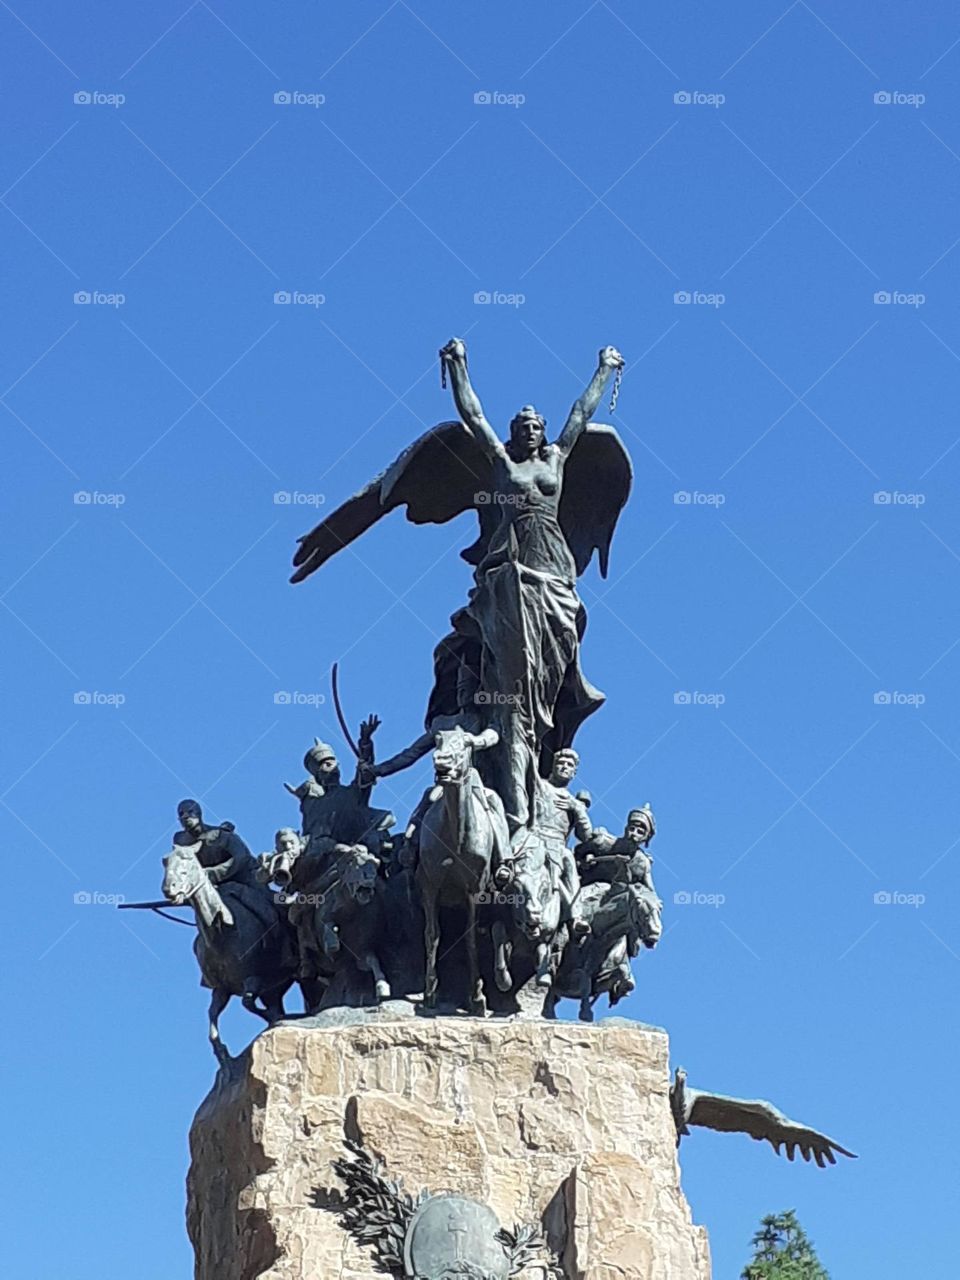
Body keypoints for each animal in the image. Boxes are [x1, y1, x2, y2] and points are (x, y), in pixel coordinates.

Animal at [419, 732, 514, 1008]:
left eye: (465, 744)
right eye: (438, 741)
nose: (440, 762)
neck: (456, 837)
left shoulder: (474, 890)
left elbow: (470, 939)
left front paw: (477, 994)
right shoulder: (430, 886)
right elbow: (432, 934)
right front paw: (430, 990)